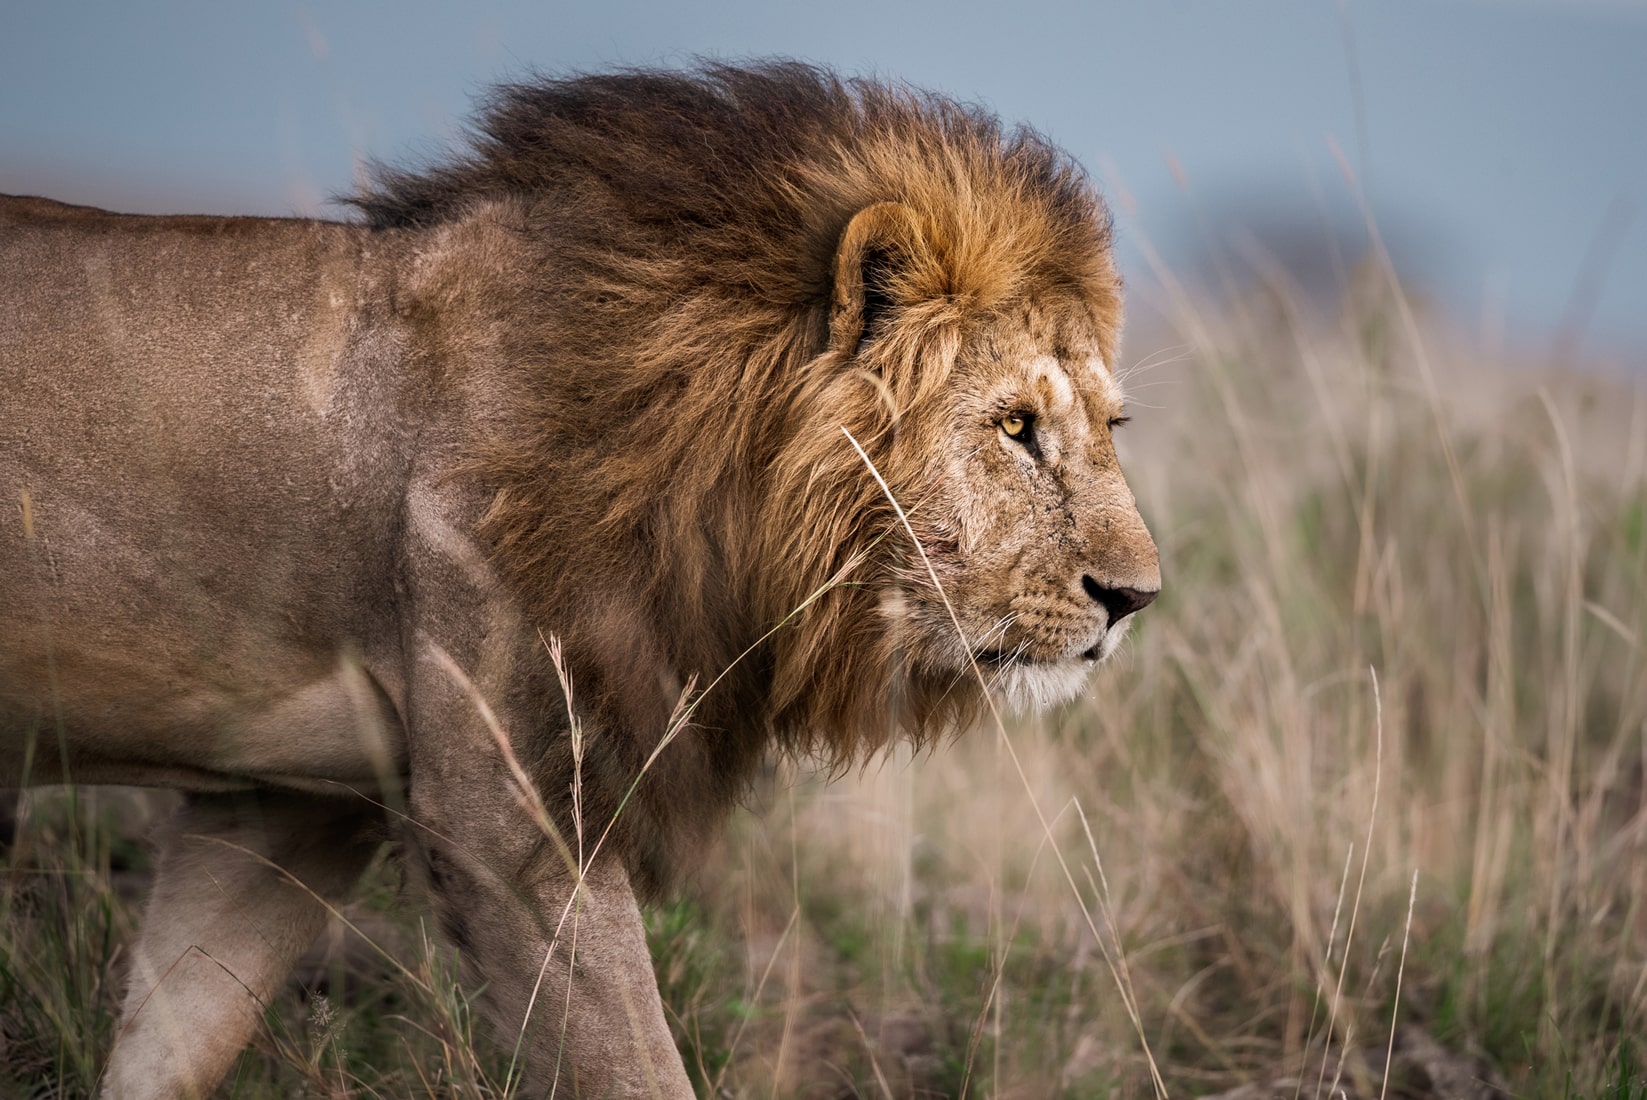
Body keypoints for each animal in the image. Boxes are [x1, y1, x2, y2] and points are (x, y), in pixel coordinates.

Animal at [0, 64, 1159, 1093]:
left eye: (1108, 427)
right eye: (1015, 427)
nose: (1137, 598)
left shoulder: (276, 806)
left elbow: (168, 1045)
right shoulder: (508, 816)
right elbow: (638, 1068)